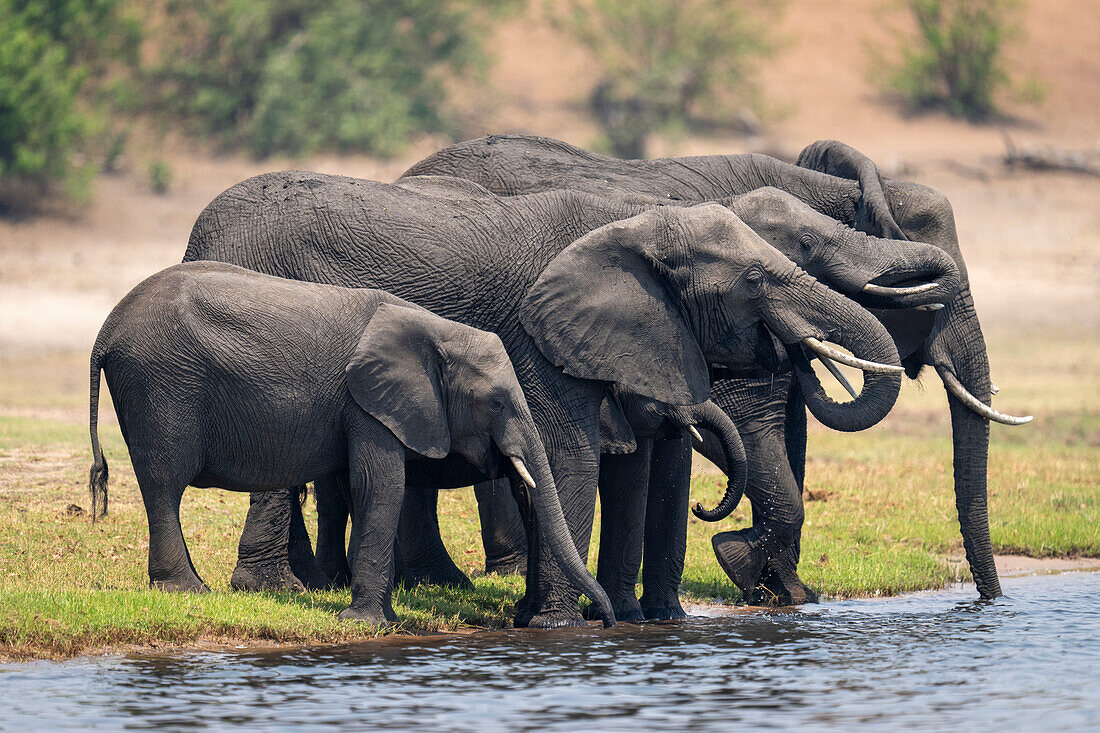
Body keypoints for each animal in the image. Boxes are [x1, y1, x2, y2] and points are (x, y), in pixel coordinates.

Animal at [86, 259, 616, 625]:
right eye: (499, 403)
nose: (607, 621)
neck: (437, 330)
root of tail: (105, 331)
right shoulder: (367, 403)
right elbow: (379, 486)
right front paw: (369, 624)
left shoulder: (368, 406)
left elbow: (361, 488)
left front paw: (378, 619)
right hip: (158, 388)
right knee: (164, 485)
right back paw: (188, 592)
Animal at [404, 131, 1029, 598]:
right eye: (807, 246)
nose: (988, 604)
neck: (827, 187)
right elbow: (751, 426)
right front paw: (751, 571)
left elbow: (789, 431)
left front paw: (786, 592)